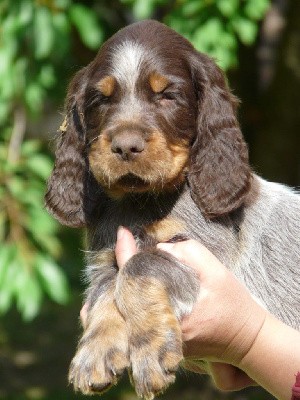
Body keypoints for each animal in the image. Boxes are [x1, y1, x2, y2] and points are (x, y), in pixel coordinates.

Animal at [45, 19, 300, 400]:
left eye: (167, 95)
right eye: (101, 99)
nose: (125, 146)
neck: (141, 203)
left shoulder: (207, 255)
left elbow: (139, 266)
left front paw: (151, 353)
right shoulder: (105, 256)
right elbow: (108, 286)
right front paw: (96, 352)